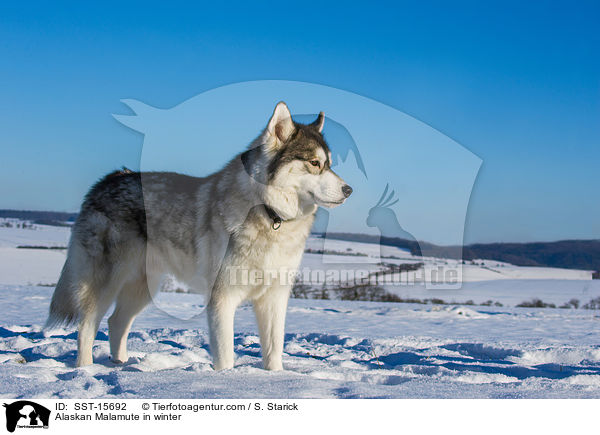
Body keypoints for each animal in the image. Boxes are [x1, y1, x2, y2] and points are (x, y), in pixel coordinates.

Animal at [50, 103, 356, 372]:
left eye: (329, 164)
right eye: (315, 163)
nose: (349, 190)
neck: (269, 213)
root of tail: (108, 179)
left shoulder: (274, 299)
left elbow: (273, 352)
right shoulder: (222, 298)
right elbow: (225, 355)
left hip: (143, 288)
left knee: (116, 322)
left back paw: (120, 364)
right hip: (103, 283)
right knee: (86, 326)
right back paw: (85, 369)